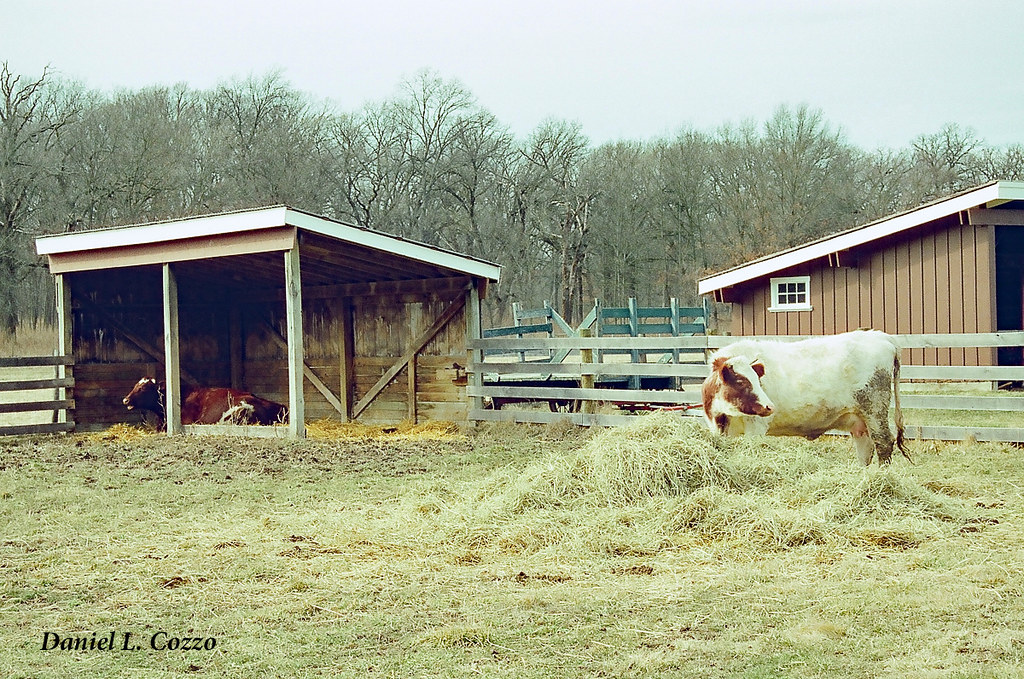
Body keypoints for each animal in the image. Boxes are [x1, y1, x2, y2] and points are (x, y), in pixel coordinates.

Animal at [701, 330, 910, 465]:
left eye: (758, 381)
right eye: (741, 382)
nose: (769, 407)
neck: (722, 415)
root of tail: (881, 336)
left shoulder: (756, 427)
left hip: (875, 411)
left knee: (884, 443)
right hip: (860, 422)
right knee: (866, 450)